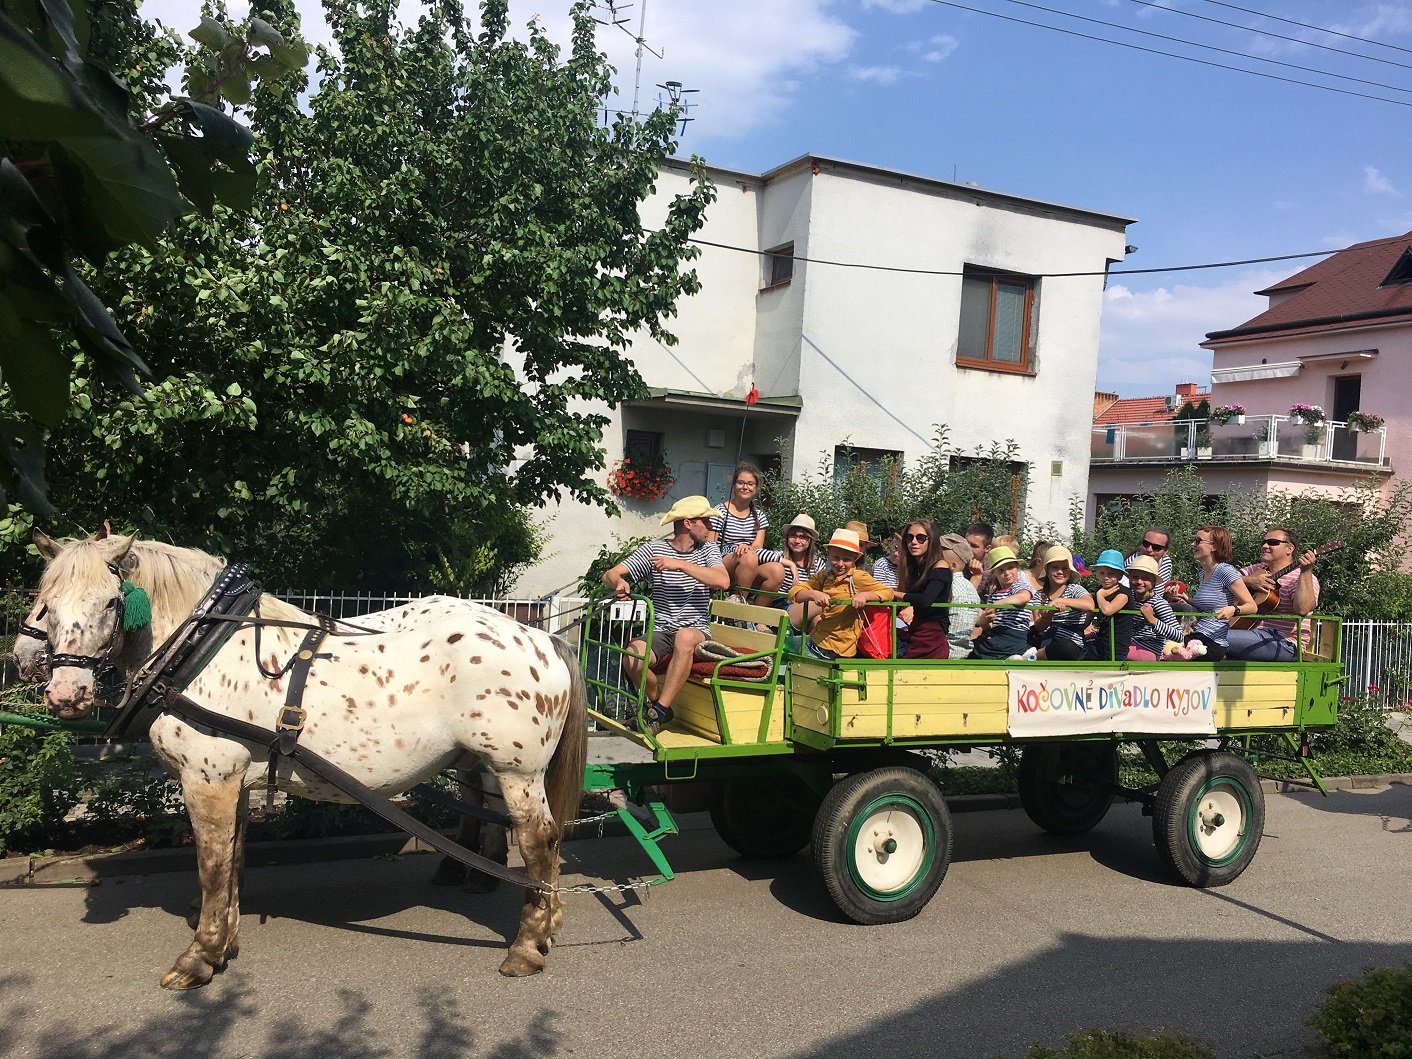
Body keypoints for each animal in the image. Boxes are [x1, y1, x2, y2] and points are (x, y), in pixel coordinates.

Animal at [28, 530, 590, 988]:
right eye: (46, 607)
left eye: (110, 603)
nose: (66, 694)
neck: (200, 649)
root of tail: (543, 637)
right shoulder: (233, 781)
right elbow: (235, 860)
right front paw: (225, 942)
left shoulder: (207, 779)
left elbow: (212, 867)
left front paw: (199, 957)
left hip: (519, 771)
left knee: (539, 844)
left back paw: (527, 945)